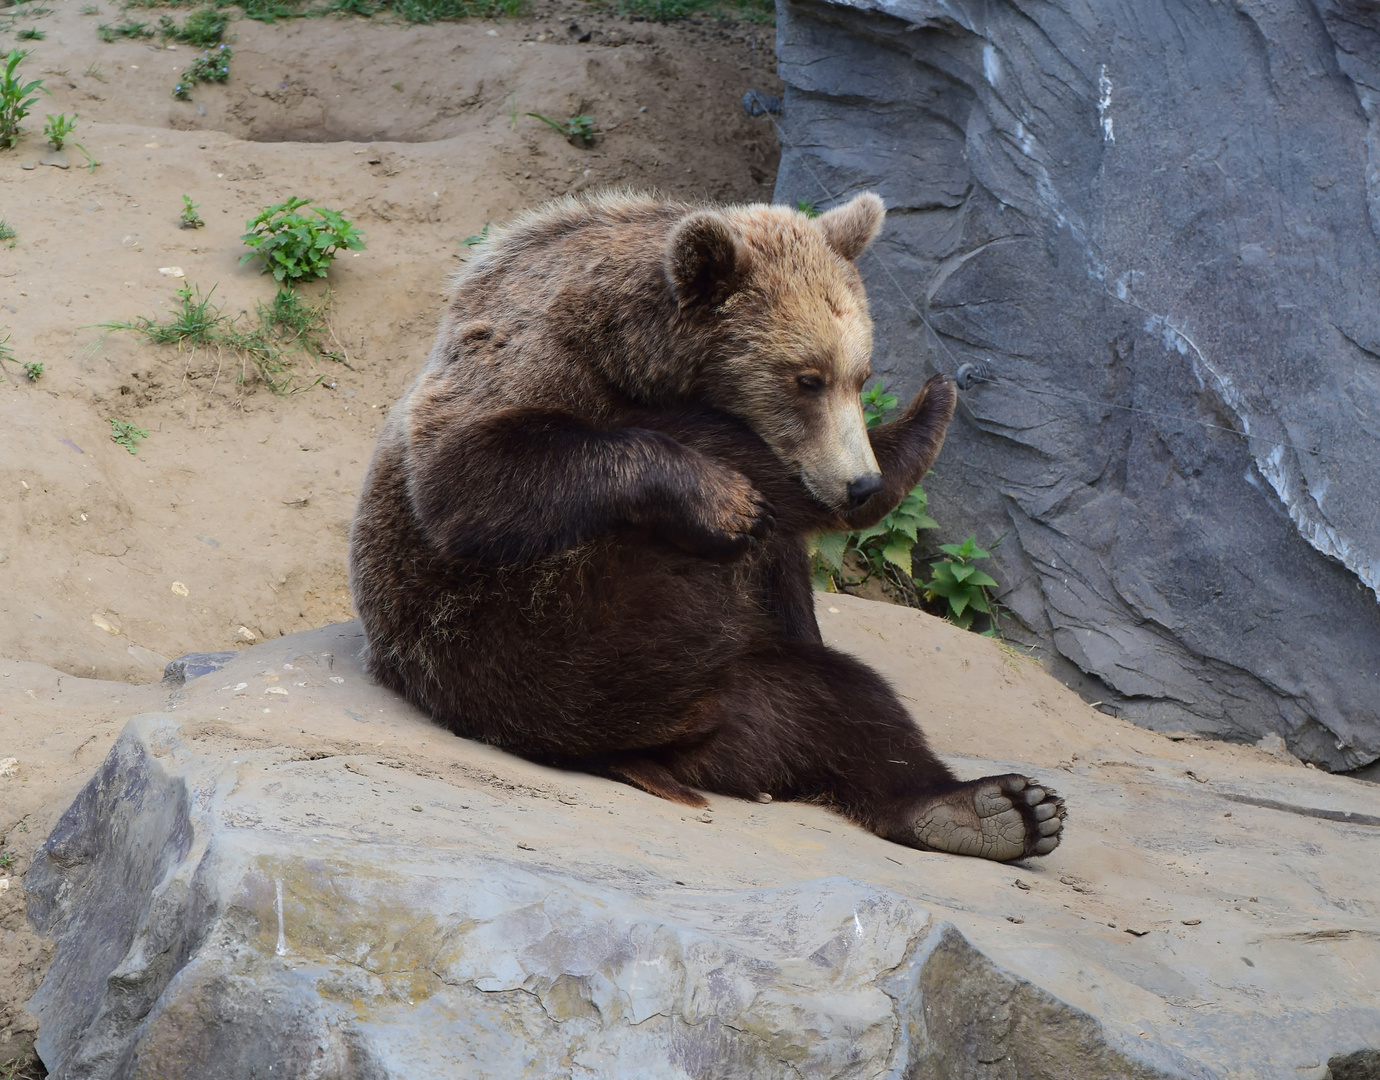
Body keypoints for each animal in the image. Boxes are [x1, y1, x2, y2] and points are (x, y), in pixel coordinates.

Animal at [350, 187, 1059, 860]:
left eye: (860, 376)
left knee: (841, 704)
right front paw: (724, 499)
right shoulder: (529, 361)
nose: (859, 484)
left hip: (728, 675)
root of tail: (663, 739)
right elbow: (465, 473)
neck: (631, 350)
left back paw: (993, 812)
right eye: (807, 378)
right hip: (536, 635)